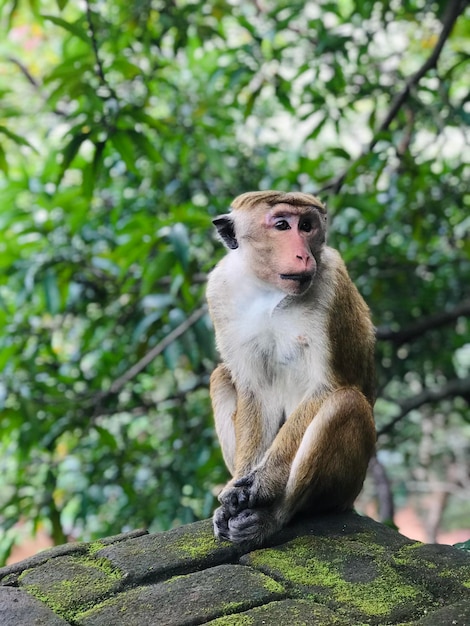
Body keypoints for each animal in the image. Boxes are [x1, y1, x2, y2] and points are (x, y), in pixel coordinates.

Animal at [207, 189, 376, 540]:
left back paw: (272, 518)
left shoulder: (332, 281)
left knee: (345, 402)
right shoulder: (219, 291)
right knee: (221, 375)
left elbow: (327, 387)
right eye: (282, 225)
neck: (269, 291)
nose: (304, 256)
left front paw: (262, 482)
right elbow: (253, 390)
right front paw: (235, 491)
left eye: (307, 226)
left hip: (348, 487)